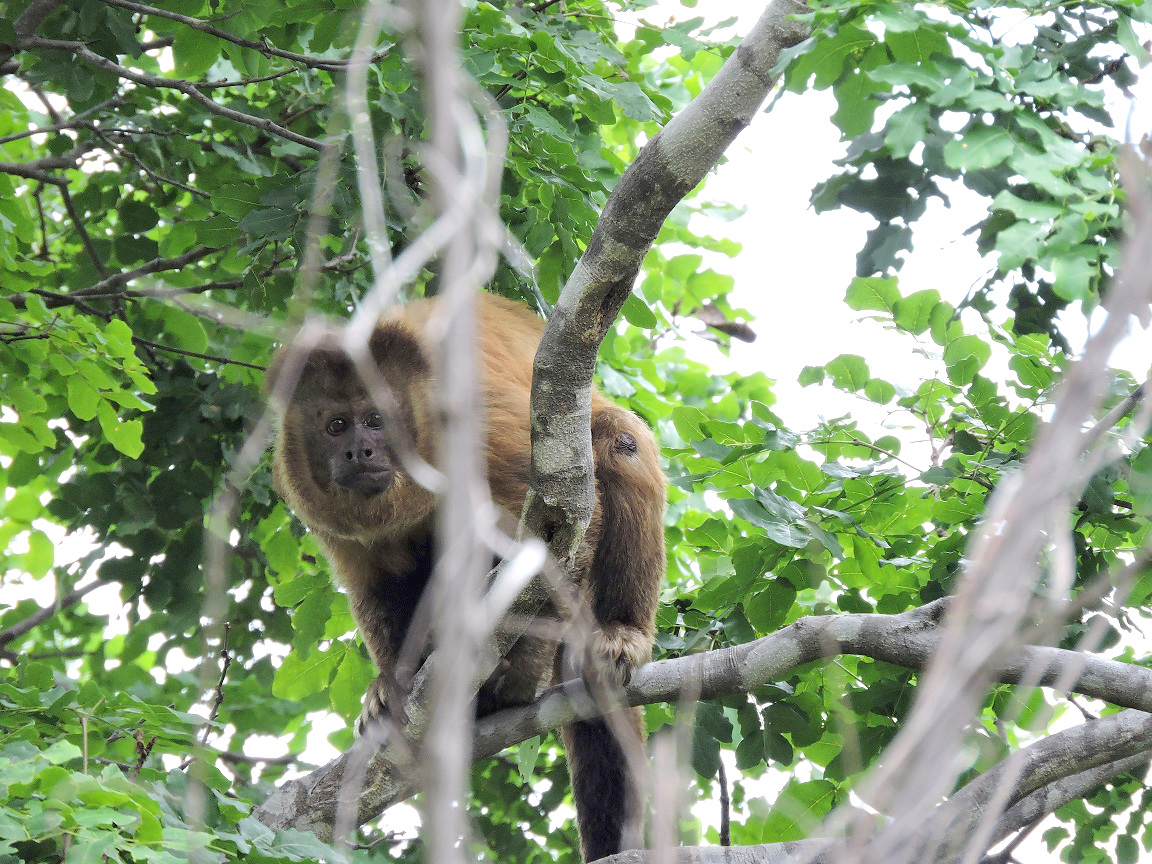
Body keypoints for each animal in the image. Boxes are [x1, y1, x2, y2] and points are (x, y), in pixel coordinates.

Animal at [267, 292, 667, 862]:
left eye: (376, 419)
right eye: (337, 425)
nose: (359, 451)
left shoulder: (475, 414)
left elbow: (565, 524)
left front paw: (516, 678)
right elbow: (376, 585)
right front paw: (390, 688)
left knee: (617, 440)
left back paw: (616, 635)